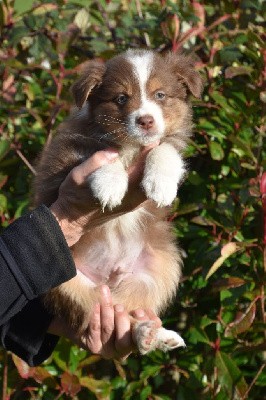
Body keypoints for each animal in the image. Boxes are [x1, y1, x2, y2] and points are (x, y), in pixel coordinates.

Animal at [34, 49, 203, 354]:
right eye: (121, 98)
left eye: (160, 95)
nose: (146, 121)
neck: (132, 146)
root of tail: (108, 279)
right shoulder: (60, 162)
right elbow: (101, 155)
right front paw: (110, 184)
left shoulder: (169, 142)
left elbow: (164, 148)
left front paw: (161, 183)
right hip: (62, 280)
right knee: (92, 309)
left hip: (162, 268)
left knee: (126, 314)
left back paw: (152, 335)